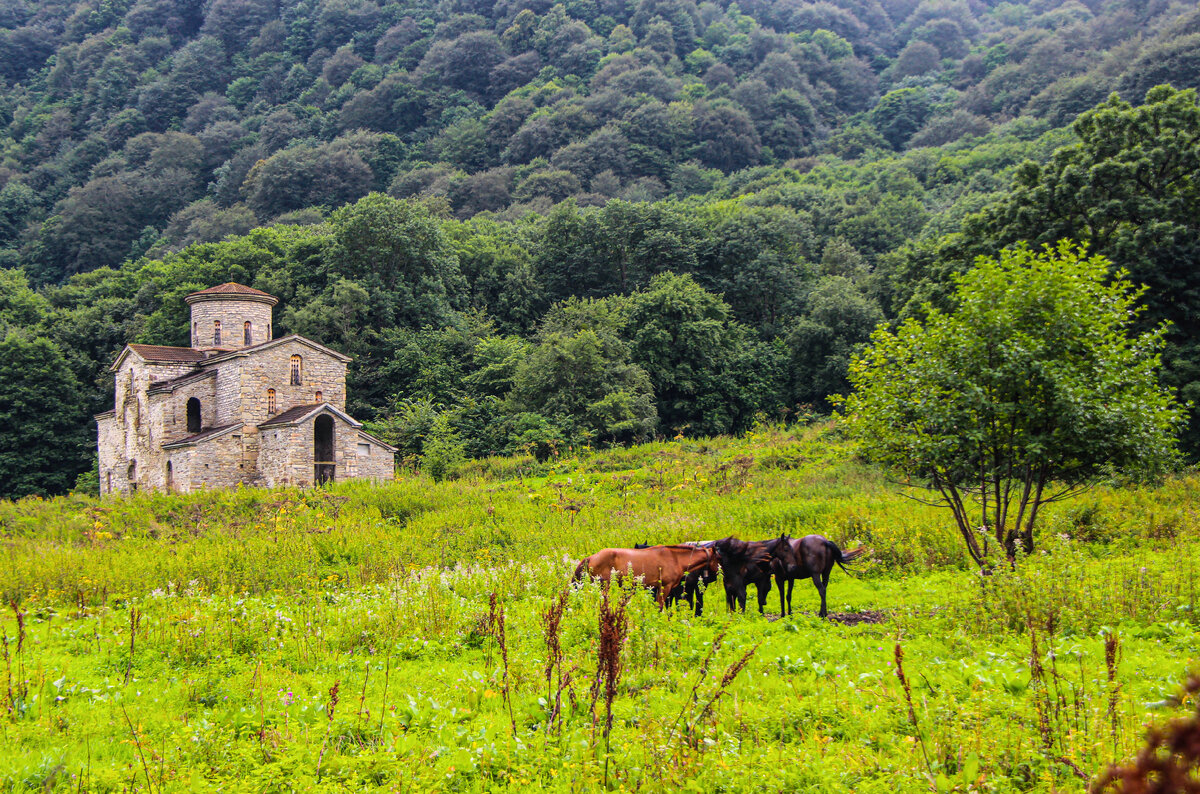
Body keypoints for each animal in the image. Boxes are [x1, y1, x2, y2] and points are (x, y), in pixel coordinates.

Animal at [573, 546, 715, 609]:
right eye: (718, 557)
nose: (712, 578)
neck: (675, 558)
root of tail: (591, 557)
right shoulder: (665, 586)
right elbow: (659, 607)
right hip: (603, 585)